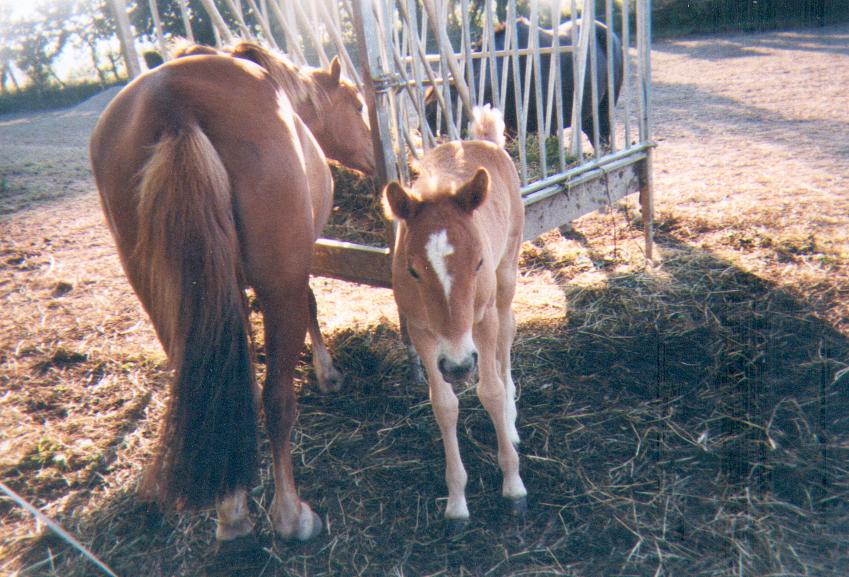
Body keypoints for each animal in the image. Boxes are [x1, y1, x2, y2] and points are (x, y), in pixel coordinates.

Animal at [88, 46, 372, 540]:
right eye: (356, 106)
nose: (376, 153)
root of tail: (173, 102)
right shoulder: (298, 264)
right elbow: (313, 304)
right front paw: (327, 372)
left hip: (167, 303)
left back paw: (231, 513)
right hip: (279, 286)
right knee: (277, 399)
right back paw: (290, 516)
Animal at [382, 104, 528, 520]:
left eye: (477, 262)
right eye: (412, 270)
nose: (460, 366)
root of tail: (482, 140)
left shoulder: (482, 319)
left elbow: (491, 390)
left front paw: (513, 485)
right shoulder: (422, 331)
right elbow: (444, 405)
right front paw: (457, 501)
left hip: (506, 276)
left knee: (507, 335)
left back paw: (510, 421)